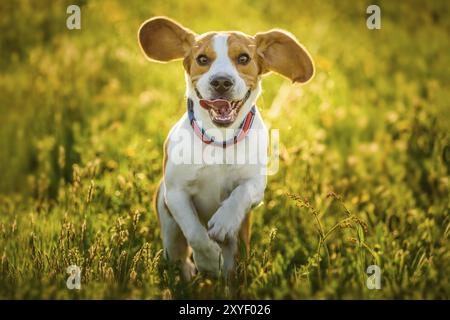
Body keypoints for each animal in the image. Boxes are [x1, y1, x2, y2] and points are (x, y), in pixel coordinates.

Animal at [137, 16, 312, 278]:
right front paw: (209, 260)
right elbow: (196, 233)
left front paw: (223, 221)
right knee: (178, 254)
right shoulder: (175, 193)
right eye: (202, 59)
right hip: (167, 224)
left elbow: (242, 193)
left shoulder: (256, 184)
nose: (221, 81)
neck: (220, 140)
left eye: (243, 58)